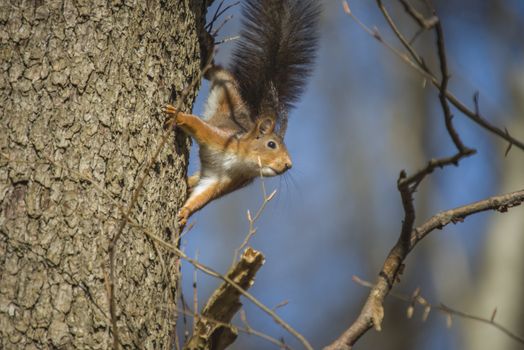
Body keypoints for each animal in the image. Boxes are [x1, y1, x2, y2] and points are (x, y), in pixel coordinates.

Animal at [165, 0, 320, 227]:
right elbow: (199, 127)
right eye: (271, 144)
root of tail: (248, 108)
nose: (288, 165)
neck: (240, 162)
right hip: (226, 84)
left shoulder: (224, 180)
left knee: (194, 180)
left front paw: (185, 212)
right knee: (217, 70)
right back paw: (207, 48)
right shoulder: (221, 138)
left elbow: (203, 194)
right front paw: (180, 116)